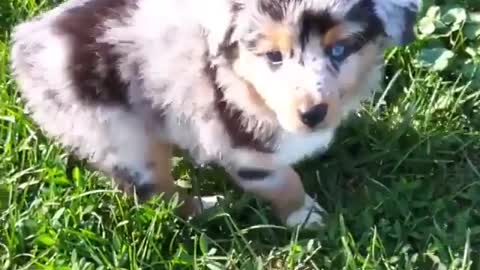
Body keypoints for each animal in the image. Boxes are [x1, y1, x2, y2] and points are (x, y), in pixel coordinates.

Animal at [8, 0, 420, 228]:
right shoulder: (246, 151)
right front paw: (304, 217)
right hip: (122, 137)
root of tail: (26, 45)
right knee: (157, 192)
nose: (314, 115)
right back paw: (208, 208)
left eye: (339, 50)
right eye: (274, 56)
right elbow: (285, 180)